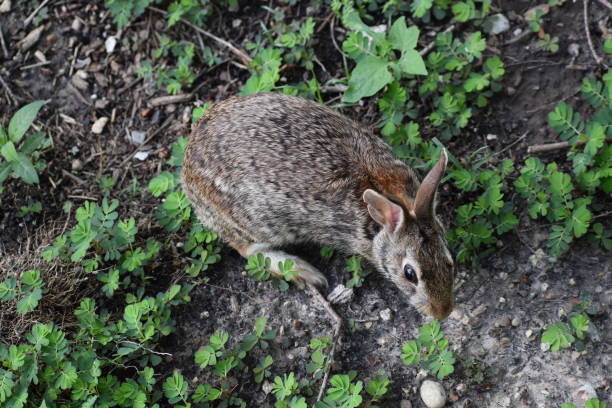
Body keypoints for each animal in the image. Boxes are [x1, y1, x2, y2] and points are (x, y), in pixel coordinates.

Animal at [182, 92, 454, 318]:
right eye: (410, 274)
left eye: (448, 260)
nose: (443, 313)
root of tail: (188, 171)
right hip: (254, 222)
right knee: (247, 250)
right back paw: (304, 271)